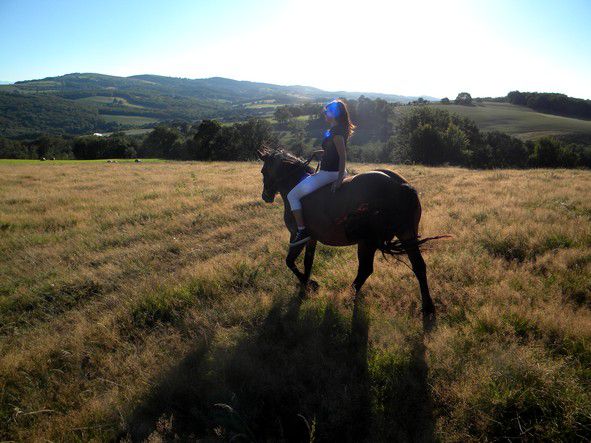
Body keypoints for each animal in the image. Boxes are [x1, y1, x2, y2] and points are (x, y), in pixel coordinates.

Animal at [257, 147, 446, 320]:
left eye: (263, 171)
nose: (265, 196)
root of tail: (399, 185)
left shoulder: (297, 236)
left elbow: (289, 262)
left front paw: (308, 284)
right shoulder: (312, 239)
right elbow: (307, 262)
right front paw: (307, 284)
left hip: (367, 241)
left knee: (365, 269)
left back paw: (348, 295)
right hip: (406, 234)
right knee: (419, 266)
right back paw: (428, 307)